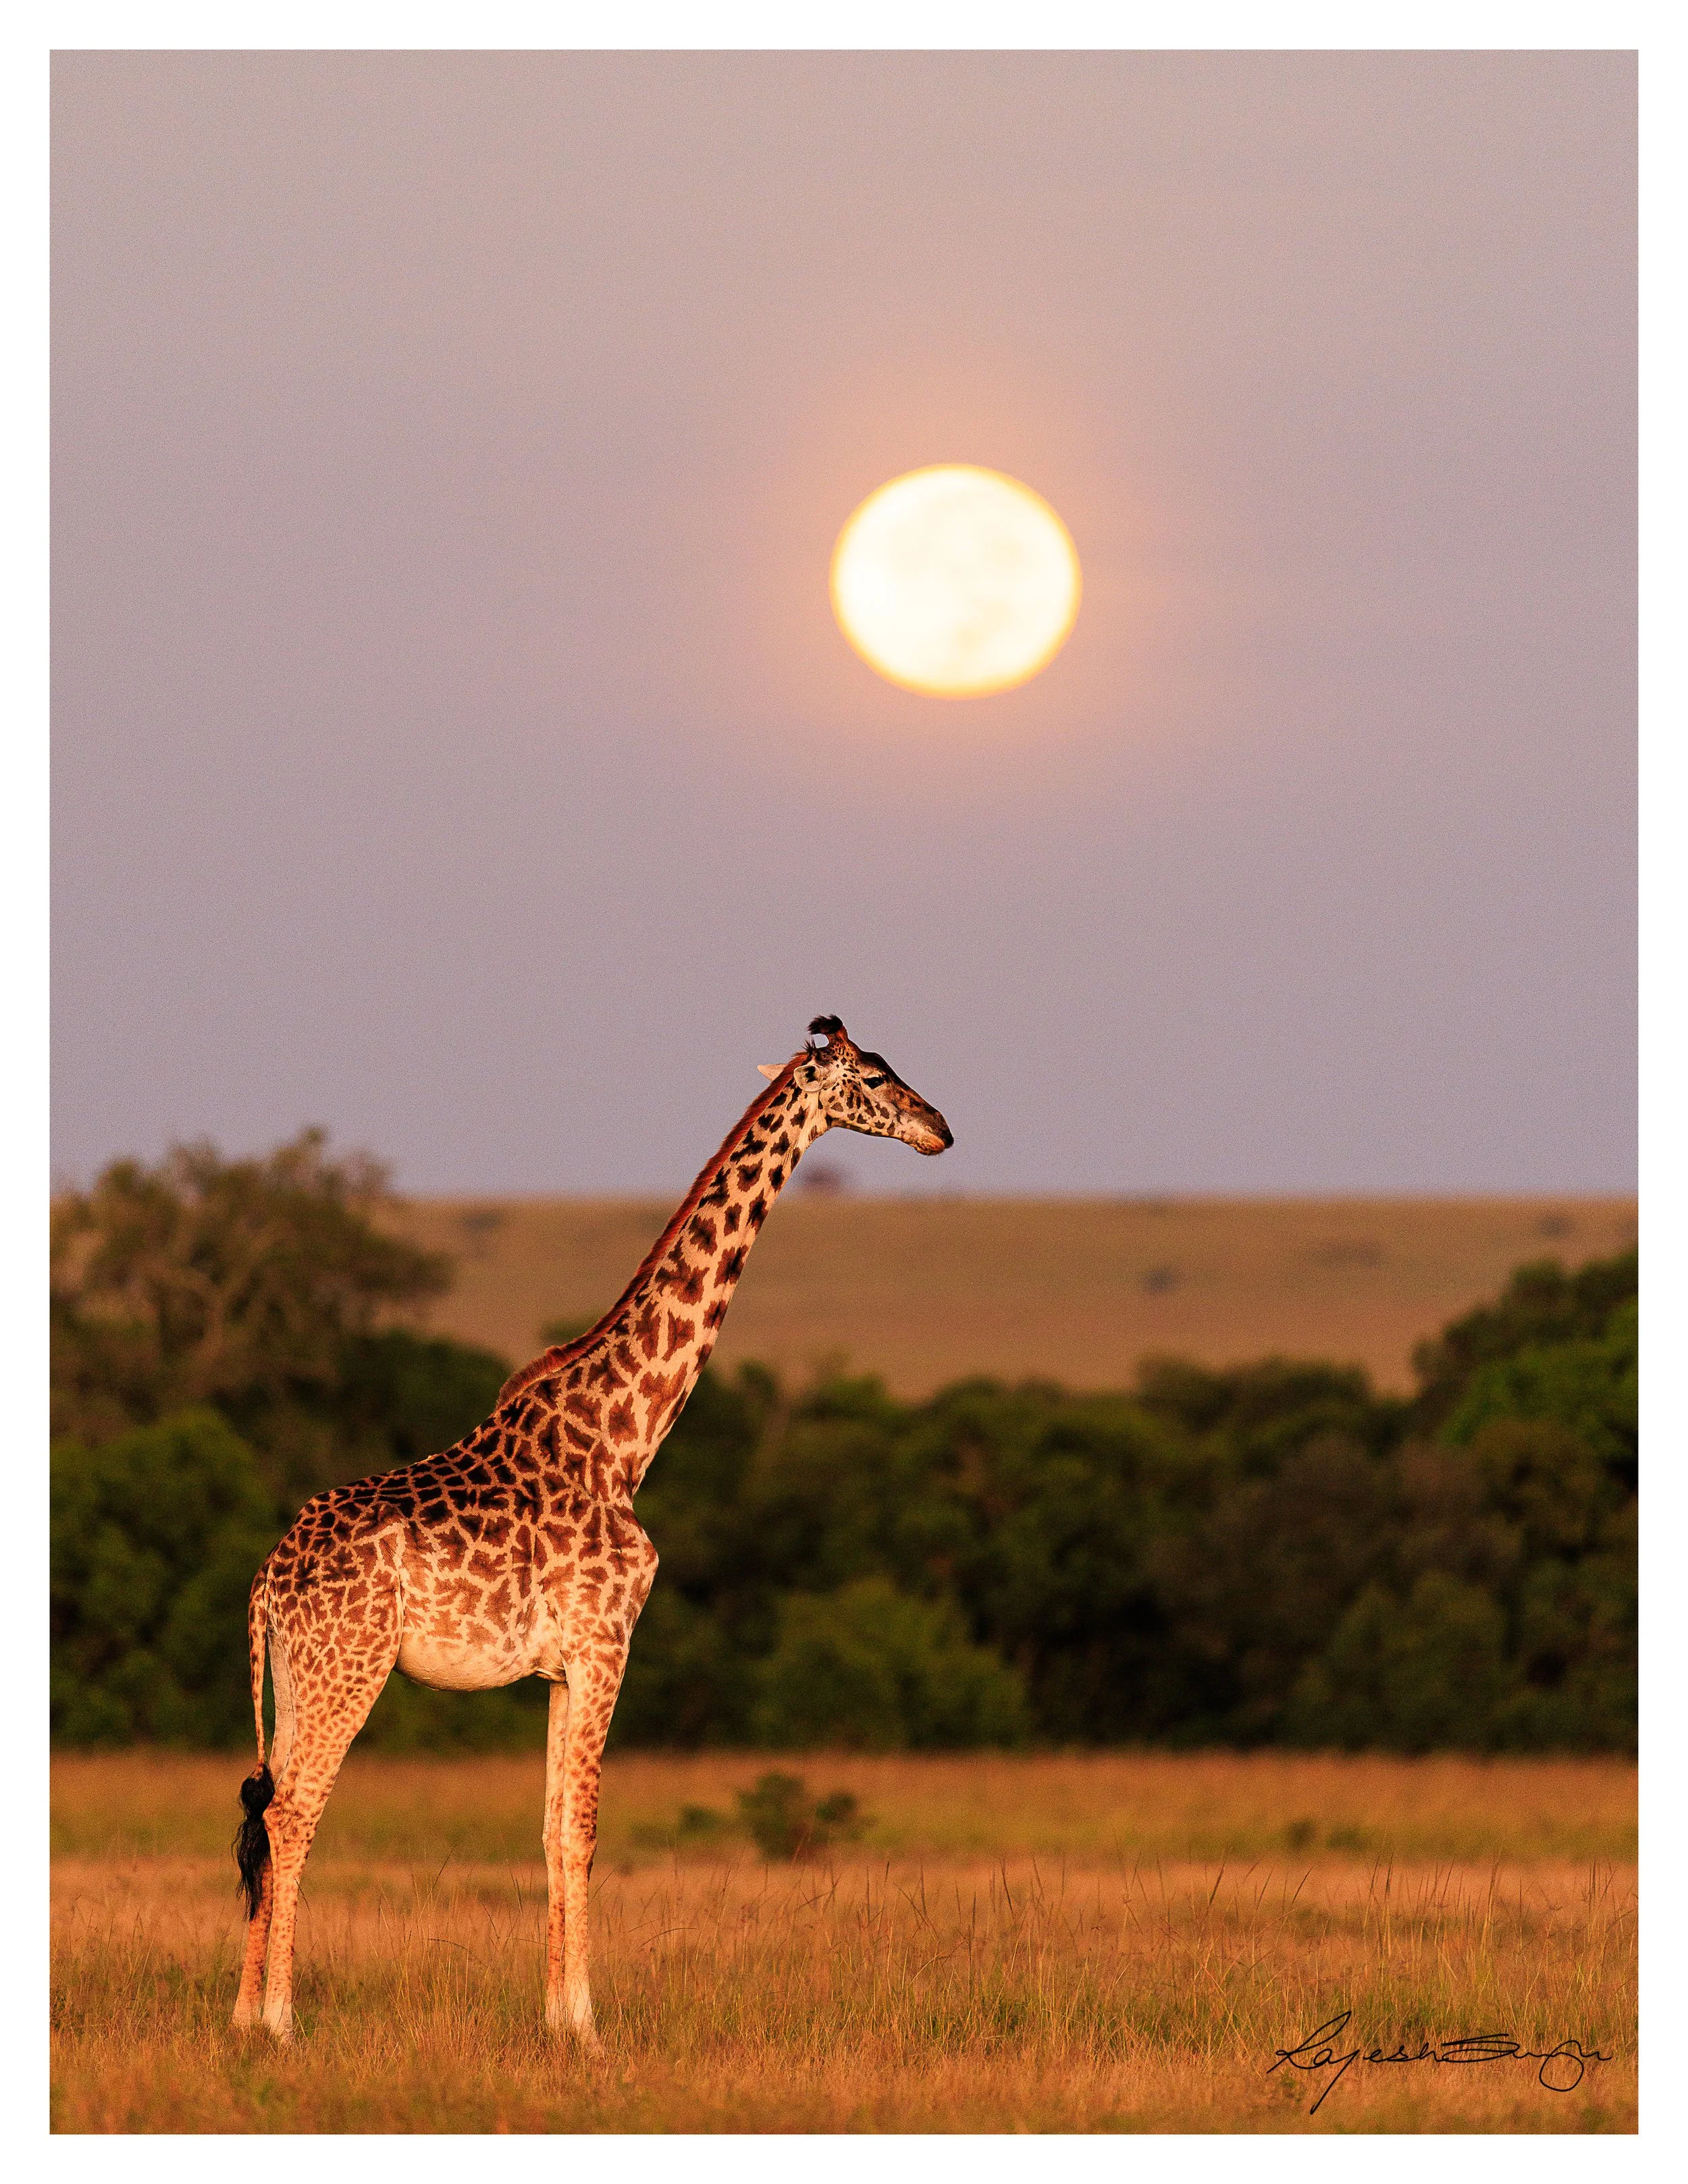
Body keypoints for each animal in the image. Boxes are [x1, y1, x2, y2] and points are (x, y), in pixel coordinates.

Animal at [229, 1014, 951, 2047]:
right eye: (876, 1074)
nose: (940, 1128)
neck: (626, 1436)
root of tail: (264, 1580)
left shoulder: (561, 1666)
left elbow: (549, 1830)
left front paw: (555, 2022)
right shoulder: (609, 1640)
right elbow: (585, 1828)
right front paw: (593, 2029)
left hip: (296, 1673)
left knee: (264, 1807)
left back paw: (243, 2017)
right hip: (350, 1666)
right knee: (293, 1815)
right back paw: (283, 2023)